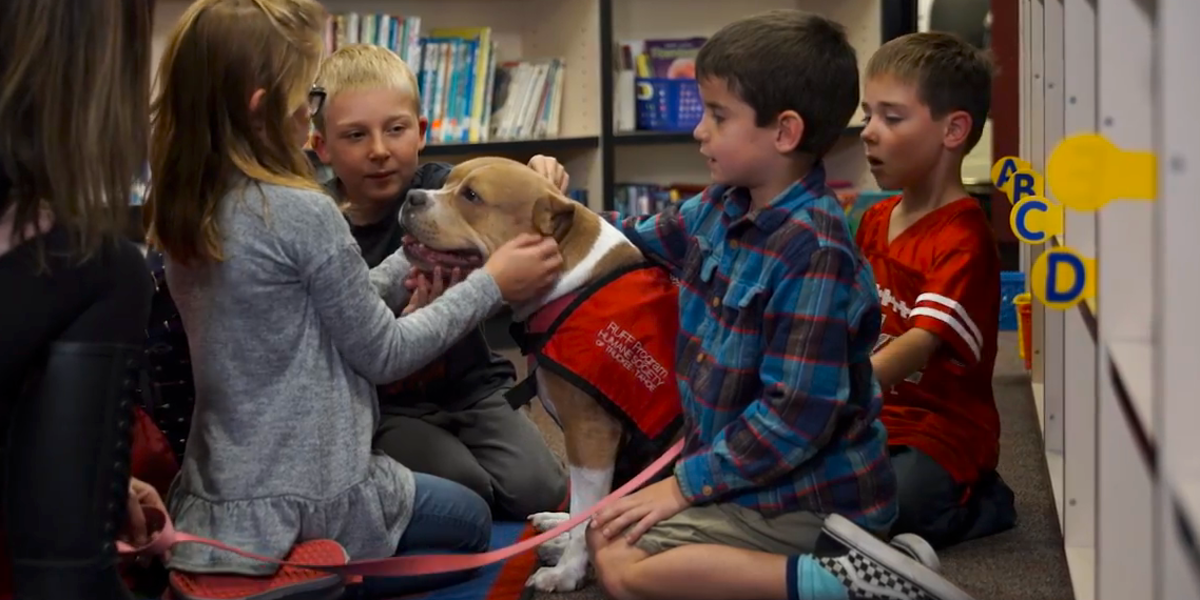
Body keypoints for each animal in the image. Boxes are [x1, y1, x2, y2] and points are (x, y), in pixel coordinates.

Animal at [400, 157, 681, 592]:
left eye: (472, 196)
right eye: (447, 182)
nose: (412, 196)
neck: (570, 275)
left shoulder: (591, 434)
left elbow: (589, 515)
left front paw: (566, 574)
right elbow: (585, 507)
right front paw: (566, 549)